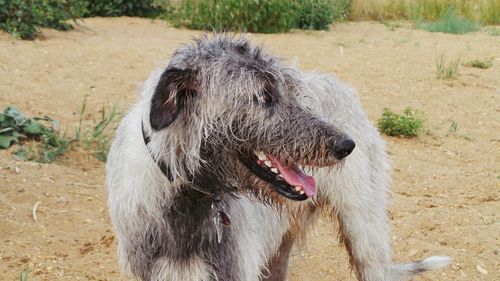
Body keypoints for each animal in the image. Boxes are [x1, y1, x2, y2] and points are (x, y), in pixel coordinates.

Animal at [105, 35, 450, 280]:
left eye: (291, 90)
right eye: (263, 96)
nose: (346, 145)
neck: (188, 196)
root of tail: (344, 88)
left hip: (365, 230)